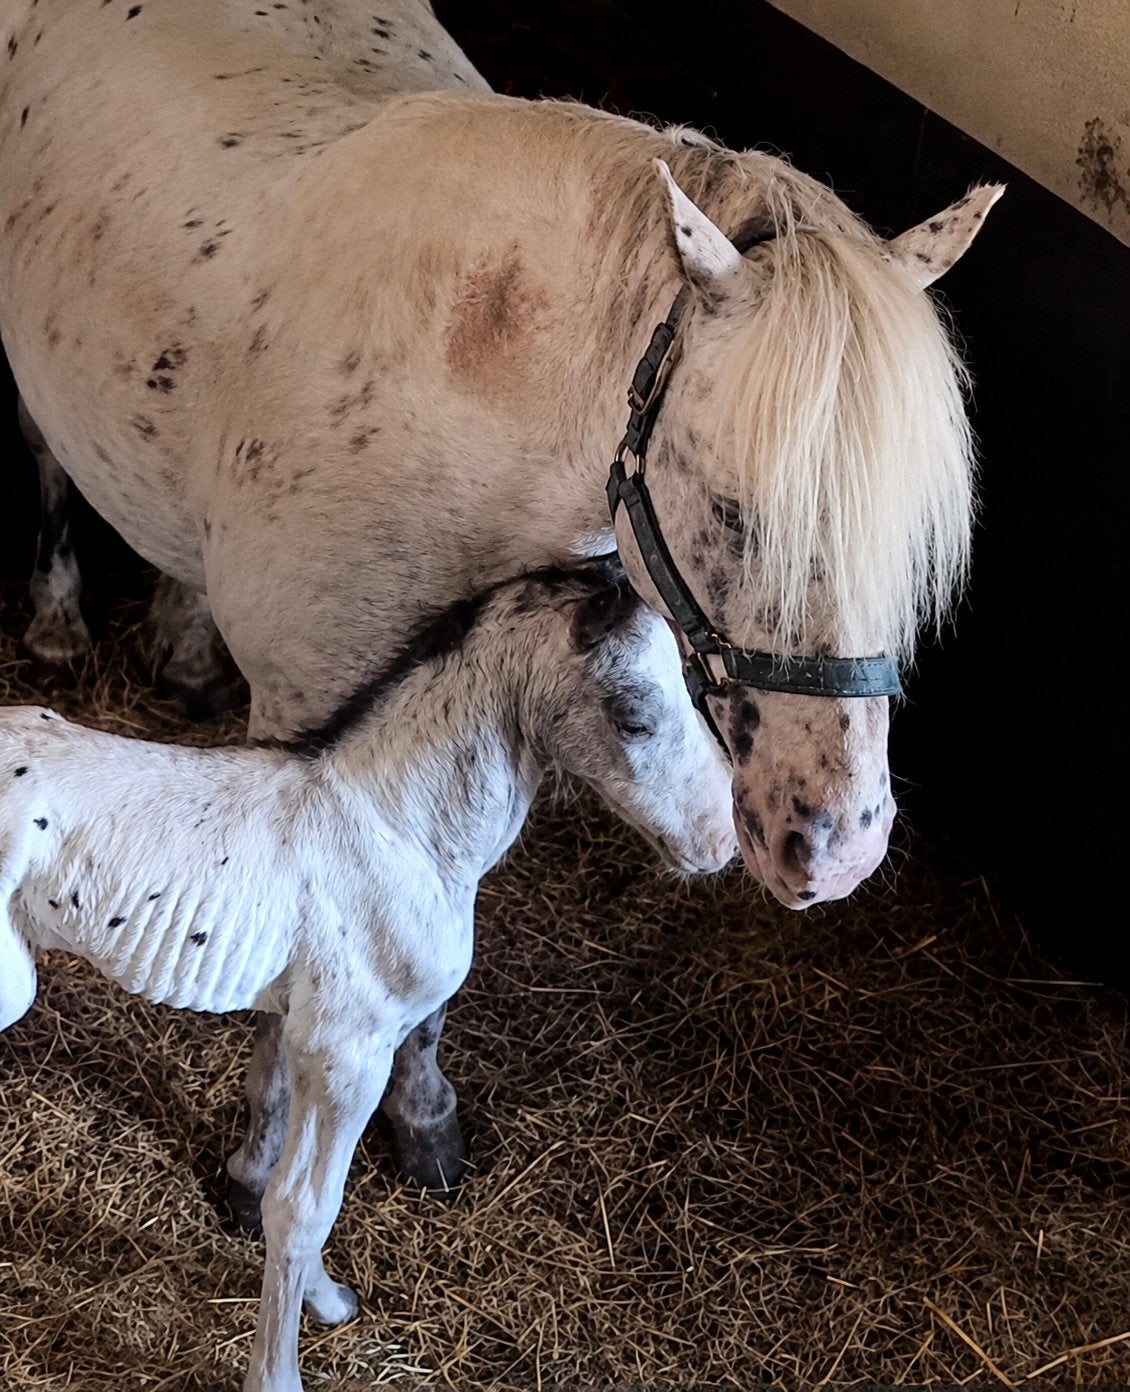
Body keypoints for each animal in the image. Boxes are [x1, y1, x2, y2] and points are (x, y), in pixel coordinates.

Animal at [0, 0, 1001, 1207]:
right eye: (733, 510)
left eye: (909, 541)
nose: (837, 848)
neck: (469, 396)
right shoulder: (307, 745)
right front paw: (257, 1162)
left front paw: (423, 1118)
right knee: (45, 449)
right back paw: (57, 611)